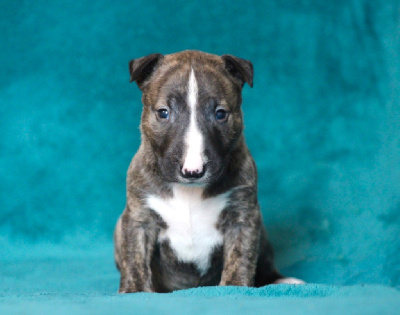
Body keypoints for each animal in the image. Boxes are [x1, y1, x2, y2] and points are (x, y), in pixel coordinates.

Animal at [113, 50, 304, 294]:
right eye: (163, 113)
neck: (189, 191)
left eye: (220, 114)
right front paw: (134, 290)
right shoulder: (139, 217)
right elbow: (134, 255)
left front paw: (234, 287)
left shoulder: (243, 216)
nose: (193, 171)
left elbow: (241, 256)